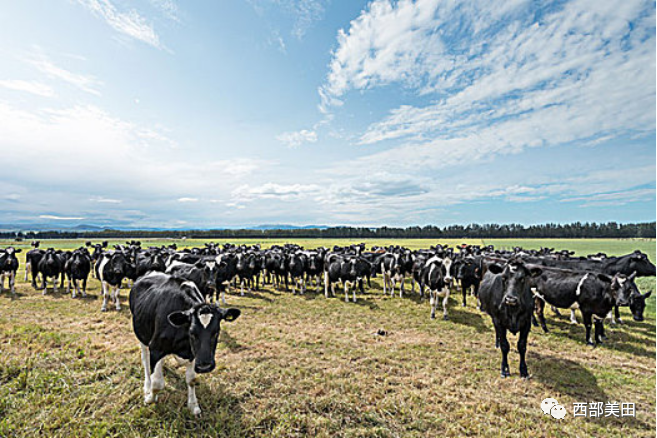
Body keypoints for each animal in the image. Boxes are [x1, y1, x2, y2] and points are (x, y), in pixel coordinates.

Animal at [129, 272, 241, 416]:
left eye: (216, 332)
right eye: (192, 332)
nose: (205, 366)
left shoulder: (194, 354)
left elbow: (191, 380)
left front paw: (193, 405)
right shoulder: (156, 348)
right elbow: (157, 383)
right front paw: (150, 398)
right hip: (141, 335)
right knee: (145, 359)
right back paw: (147, 385)